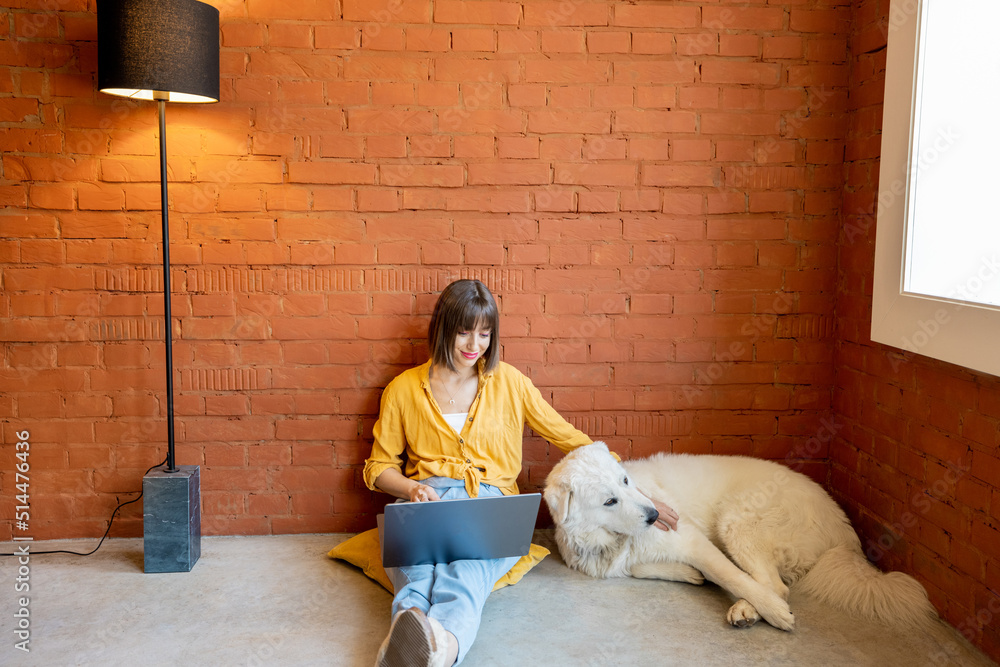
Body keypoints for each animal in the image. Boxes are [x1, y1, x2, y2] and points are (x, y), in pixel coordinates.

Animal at [544, 444, 932, 632]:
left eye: (625, 481)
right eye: (609, 500)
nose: (655, 515)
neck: (611, 537)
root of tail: (844, 535)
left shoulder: (694, 541)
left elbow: (730, 575)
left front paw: (772, 612)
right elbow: (638, 567)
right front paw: (689, 574)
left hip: (736, 521)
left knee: (775, 586)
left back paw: (753, 609)